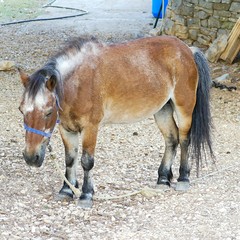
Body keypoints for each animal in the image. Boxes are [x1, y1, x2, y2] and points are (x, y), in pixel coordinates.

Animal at [18, 36, 214, 208]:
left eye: (48, 112)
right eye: (22, 110)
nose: (31, 157)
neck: (78, 83)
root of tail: (188, 49)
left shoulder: (90, 128)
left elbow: (86, 161)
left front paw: (86, 195)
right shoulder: (66, 129)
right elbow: (70, 159)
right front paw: (67, 190)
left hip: (184, 109)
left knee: (184, 140)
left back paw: (183, 179)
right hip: (162, 110)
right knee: (171, 140)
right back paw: (163, 179)